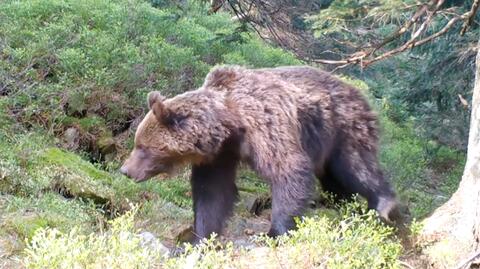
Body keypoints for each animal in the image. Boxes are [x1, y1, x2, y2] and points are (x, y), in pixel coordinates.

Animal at [120, 65, 402, 241]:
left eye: (143, 147)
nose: (125, 170)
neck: (230, 124)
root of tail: (361, 94)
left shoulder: (267, 125)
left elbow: (289, 169)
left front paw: (275, 231)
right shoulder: (220, 155)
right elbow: (212, 191)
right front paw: (200, 235)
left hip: (342, 129)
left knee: (356, 168)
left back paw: (382, 205)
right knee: (335, 180)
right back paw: (339, 203)